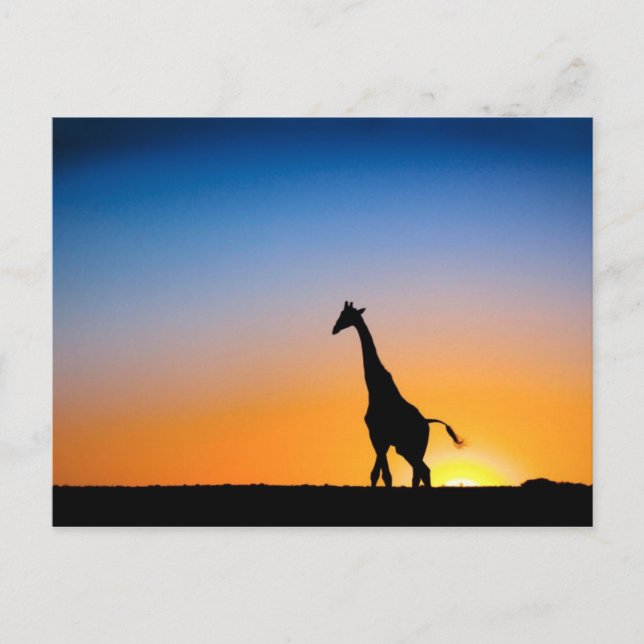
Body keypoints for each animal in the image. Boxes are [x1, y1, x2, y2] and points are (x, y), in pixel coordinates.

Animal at [332, 301, 464, 487]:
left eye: (346, 315)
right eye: (340, 314)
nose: (334, 328)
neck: (375, 389)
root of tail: (426, 422)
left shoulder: (378, 435)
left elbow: (385, 475)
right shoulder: (381, 439)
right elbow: (376, 473)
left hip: (411, 447)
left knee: (422, 471)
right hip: (408, 448)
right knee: (421, 472)